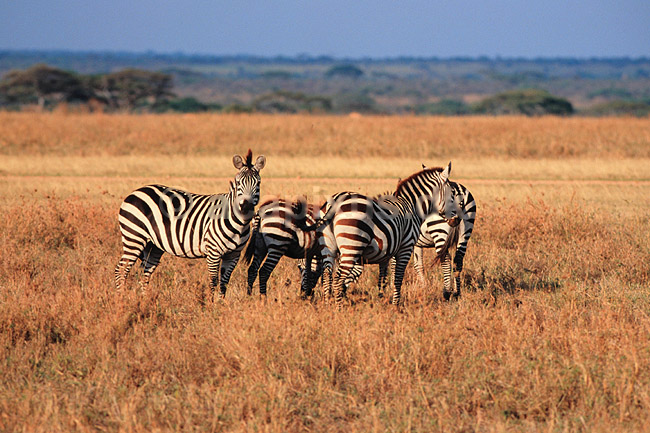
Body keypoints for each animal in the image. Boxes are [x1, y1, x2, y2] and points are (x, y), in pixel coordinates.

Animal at [114, 150, 266, 298]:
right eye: (238, 183)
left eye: (258, 184)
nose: (245, 207)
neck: (238, 223)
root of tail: (136, 191)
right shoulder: (213, 252)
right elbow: (213, 281)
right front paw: (211, 305)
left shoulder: (234, 255)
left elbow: (224, 283)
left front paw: (221, 304)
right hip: (134, 237)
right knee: (121, 270)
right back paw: (121, 300)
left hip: (153, 245)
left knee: (145, 273)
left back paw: (144, 300)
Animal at [301, 162, 459, 306]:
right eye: (452, 195)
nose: (456, 220)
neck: (412, 206)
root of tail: (334, 203)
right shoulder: (405, 247)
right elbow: (398, 278)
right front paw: (396, 305)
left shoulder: (386, 253)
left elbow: (382, 278)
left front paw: (382, 299)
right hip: (351, 246)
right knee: (338, 278)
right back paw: (338, 309)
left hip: (328, 247)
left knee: (327, 275)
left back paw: (328, 305)